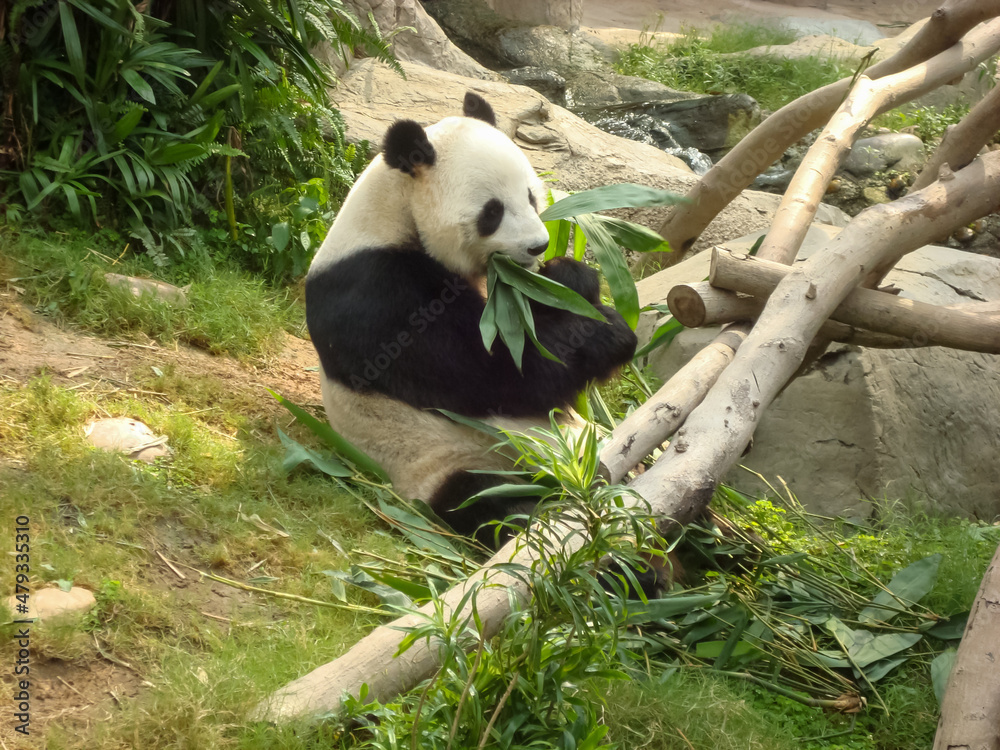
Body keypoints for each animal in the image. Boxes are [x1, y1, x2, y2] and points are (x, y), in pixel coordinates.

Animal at [305, 92, 637, 548]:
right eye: (492, 212)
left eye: (531, 196)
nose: (538, 245)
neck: (395, 212)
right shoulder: (376, 297)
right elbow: (500, 376)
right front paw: (608, 331)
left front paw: (568, 277)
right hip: (446, 458)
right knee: (494, 502)